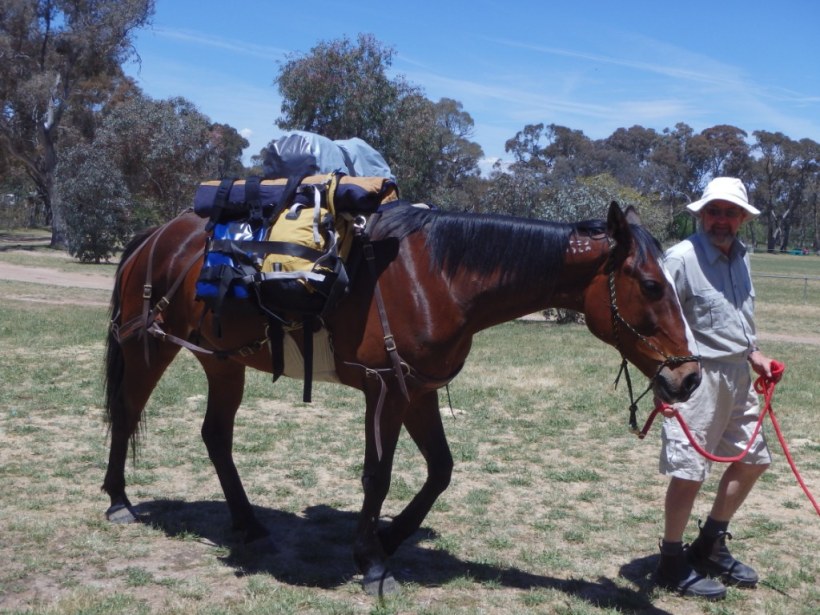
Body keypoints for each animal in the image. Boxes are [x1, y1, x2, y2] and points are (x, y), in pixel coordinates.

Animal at [102, 200, 701, 595]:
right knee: (126, 413)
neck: (440, 278)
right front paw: (372, 561)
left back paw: (248, 523)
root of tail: (155, 236)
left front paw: (387, 539)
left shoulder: (420, 391)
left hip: (222, 362)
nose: (689, 379)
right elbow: (379, 474)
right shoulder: (387, 391)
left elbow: (440, 470)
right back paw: (119, 502)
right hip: (149, 347)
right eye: (651, 285)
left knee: (215, 437)